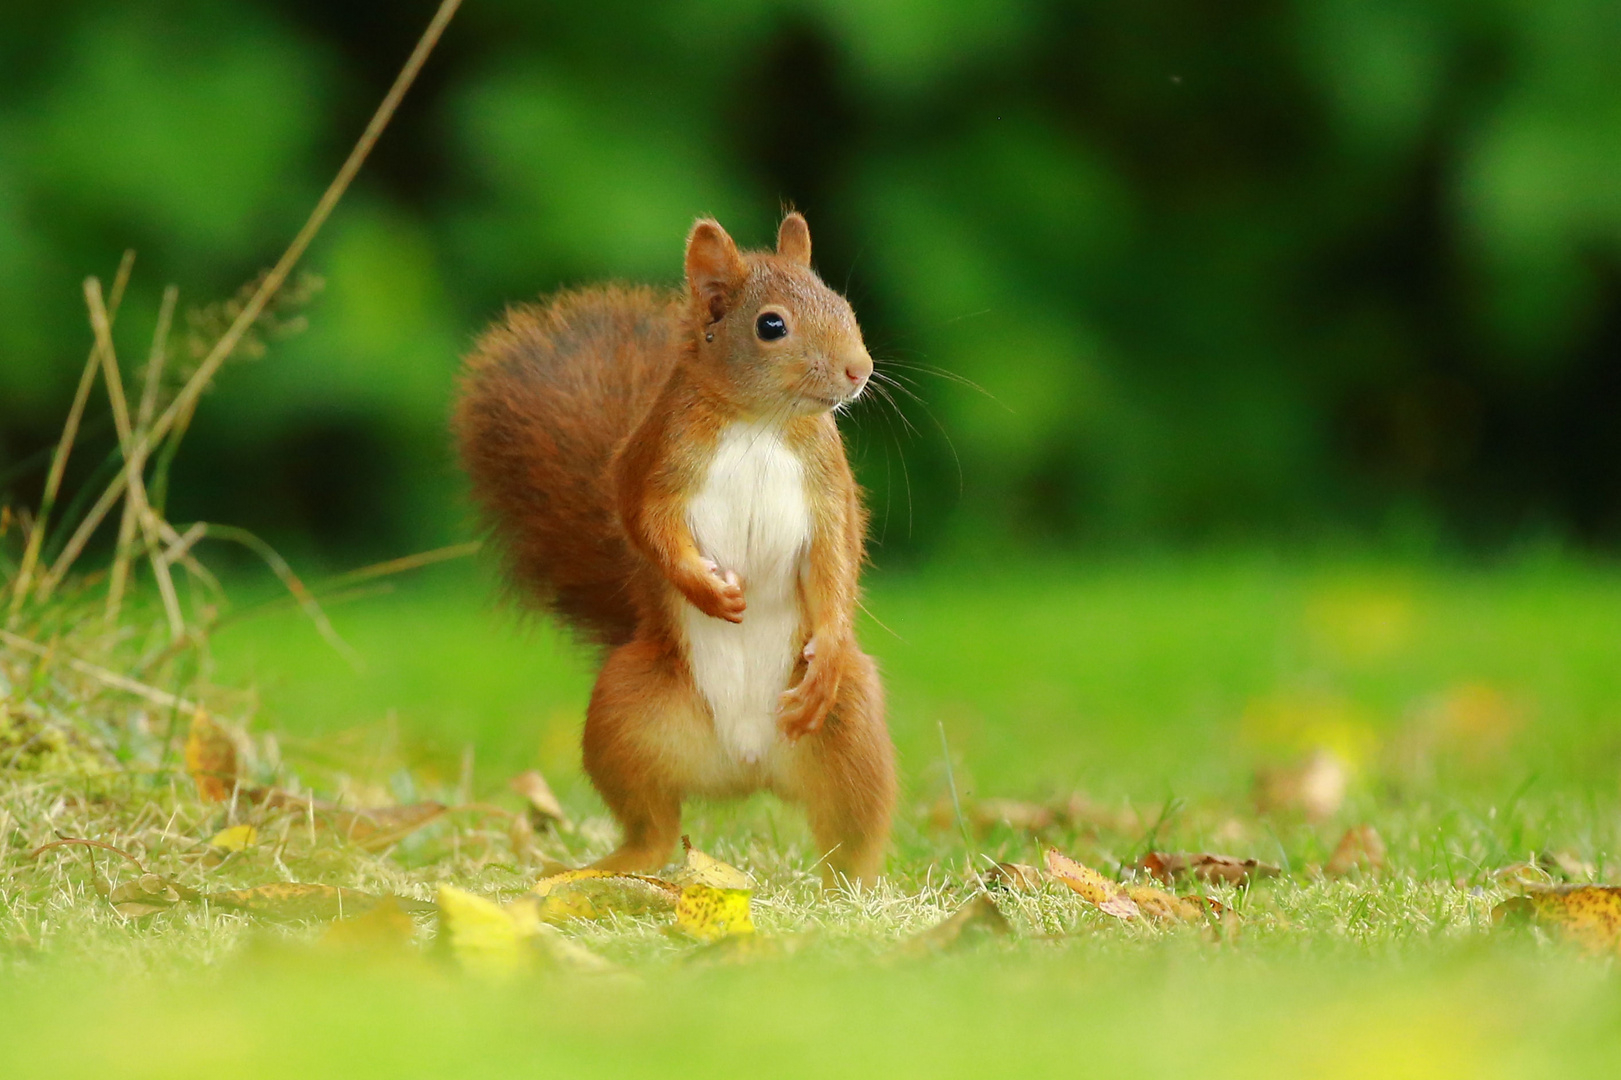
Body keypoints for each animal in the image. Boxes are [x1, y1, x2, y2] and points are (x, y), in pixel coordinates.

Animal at [457, 212, 901, 882]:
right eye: (771, 325)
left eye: (844, 307)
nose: (860, 370)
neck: (761, 423)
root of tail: (744, 766)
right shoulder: (656, 466)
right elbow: (650, 530)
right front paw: (708, 592)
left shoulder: (829, 493)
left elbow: (834, 564)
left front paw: (825, 646)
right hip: (625, 716)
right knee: (654, 827)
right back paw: (603, 868)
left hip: (851, 729)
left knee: (852, 833)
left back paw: (852, 889)